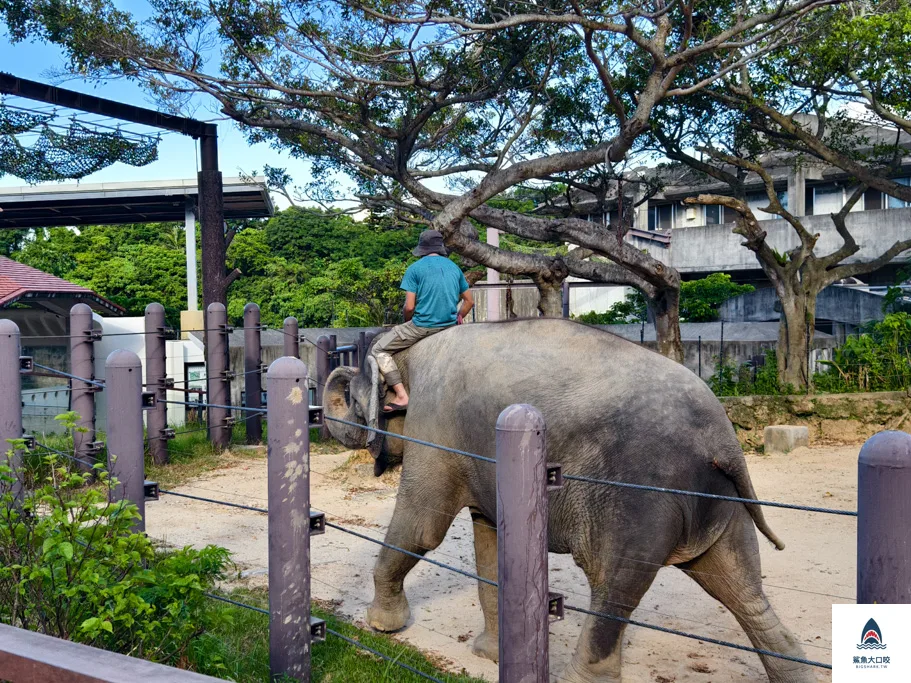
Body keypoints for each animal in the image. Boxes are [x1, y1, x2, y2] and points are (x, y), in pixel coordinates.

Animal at [324, 320, 816, 683]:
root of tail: (725, 440)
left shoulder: (434, 430)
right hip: (715, 500)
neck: (407, 355)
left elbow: (422, 525)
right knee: (737, 582)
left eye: (353, 402)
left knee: (614, 585)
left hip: (641, 497)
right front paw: (489, 656)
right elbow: (491, 542)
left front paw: (380, 626)